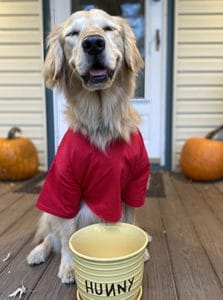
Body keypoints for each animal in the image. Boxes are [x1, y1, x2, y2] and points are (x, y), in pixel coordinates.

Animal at [27, 7, 151, 284]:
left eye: (108, 28)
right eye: (73, 34)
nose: (93, 43)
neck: (102, 121)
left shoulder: (134, 183)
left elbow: (131, 221)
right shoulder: (66, 187)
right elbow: (67, 236)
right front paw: (69, 266)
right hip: (51, 208)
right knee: (51, 237)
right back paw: (37, 252)